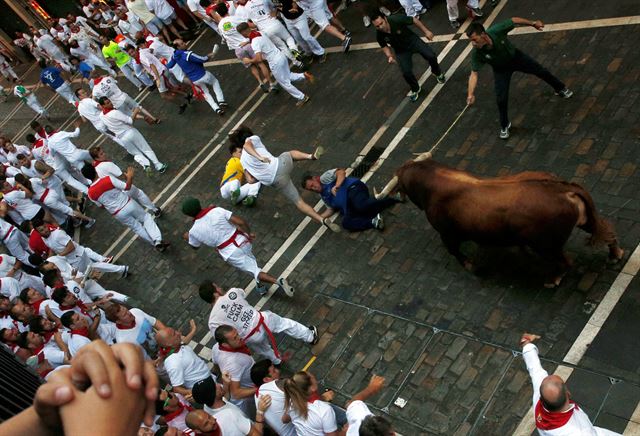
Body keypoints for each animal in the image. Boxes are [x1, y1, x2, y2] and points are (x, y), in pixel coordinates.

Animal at [384, 158, 624, 288]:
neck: (432, 180)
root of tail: (560, 187)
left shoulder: (447, 234)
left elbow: (456, 253)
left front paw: (472, 266)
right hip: (584, 222)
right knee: (607, 231)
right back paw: (615, 254)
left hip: (546, 246)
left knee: (566, 261)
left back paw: (553, 279)